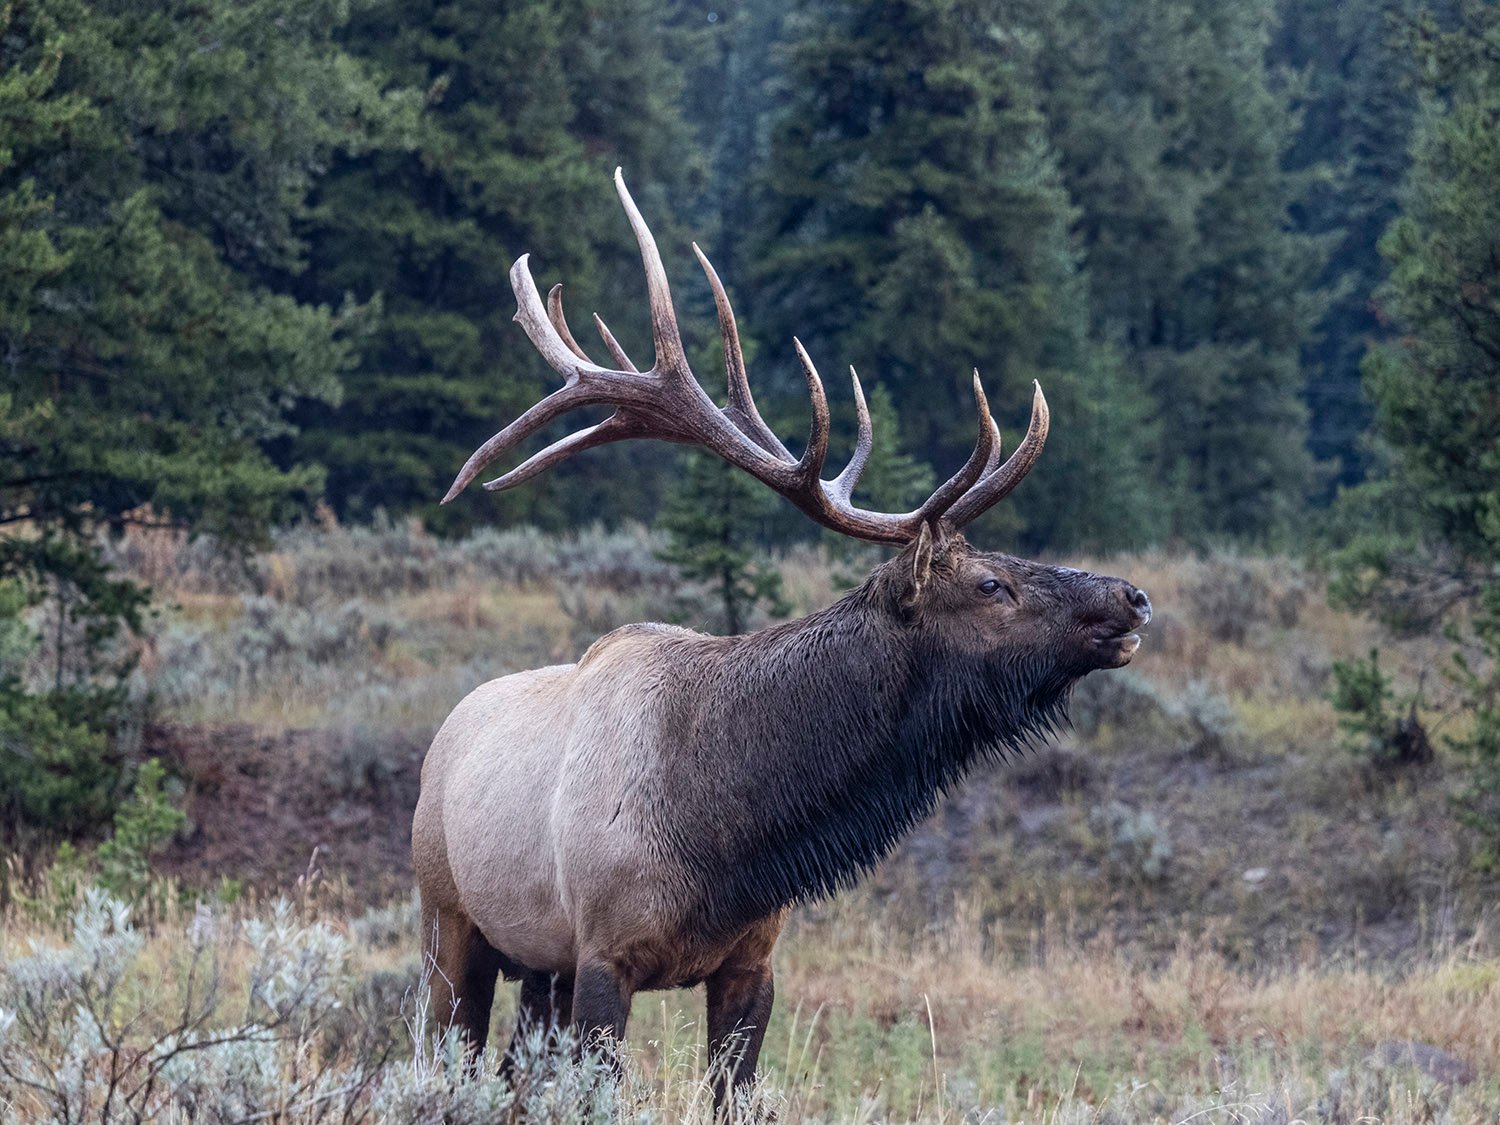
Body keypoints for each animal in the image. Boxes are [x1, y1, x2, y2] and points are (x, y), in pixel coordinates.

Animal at [413, 170, 1152, 1109]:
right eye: (991, 583)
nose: (1132, 596)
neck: (727, 834)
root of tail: (442, 737)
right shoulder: (604, 952)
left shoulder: (751, 959)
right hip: (450, 924)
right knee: (448, 1049)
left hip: (536, 964)